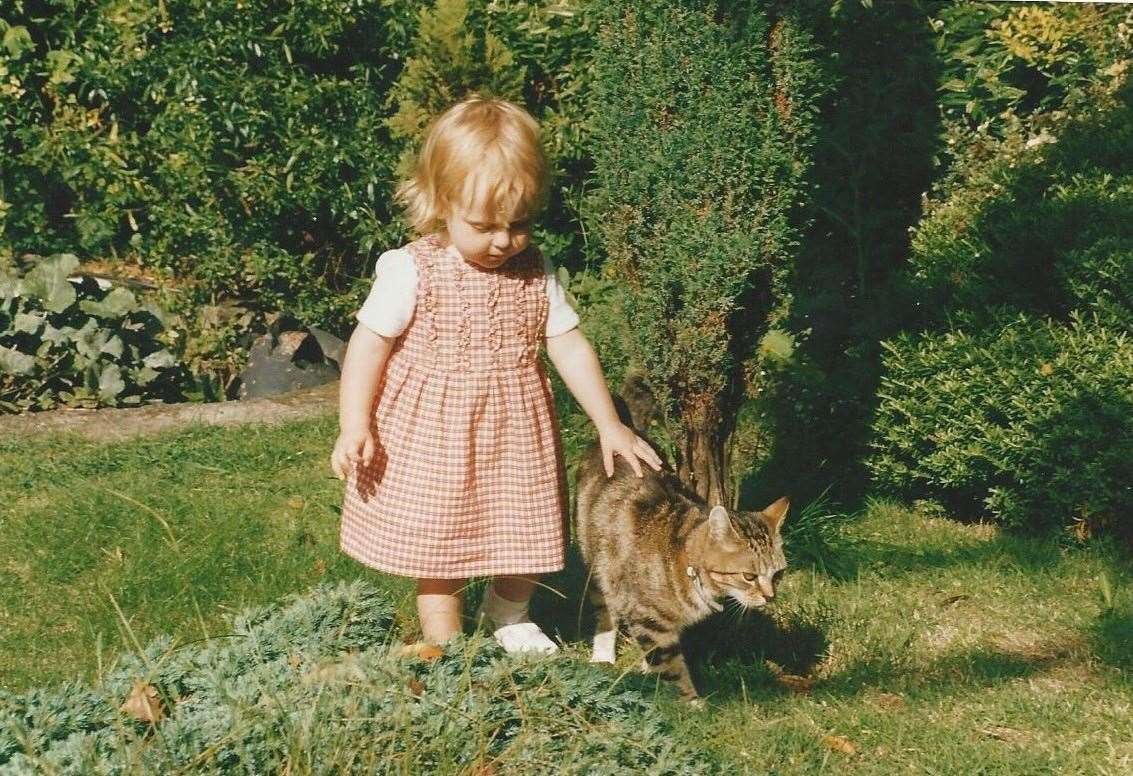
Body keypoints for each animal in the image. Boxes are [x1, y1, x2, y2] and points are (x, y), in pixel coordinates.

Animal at [575, 376, 788, 702]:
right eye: (749, 576)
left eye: (778, 574)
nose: (770, 596)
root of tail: (627, 430)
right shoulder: (651, 622)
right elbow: (672, 668)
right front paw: (691, 703)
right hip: (599, 569)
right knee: (605, 611)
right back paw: (603, 655)